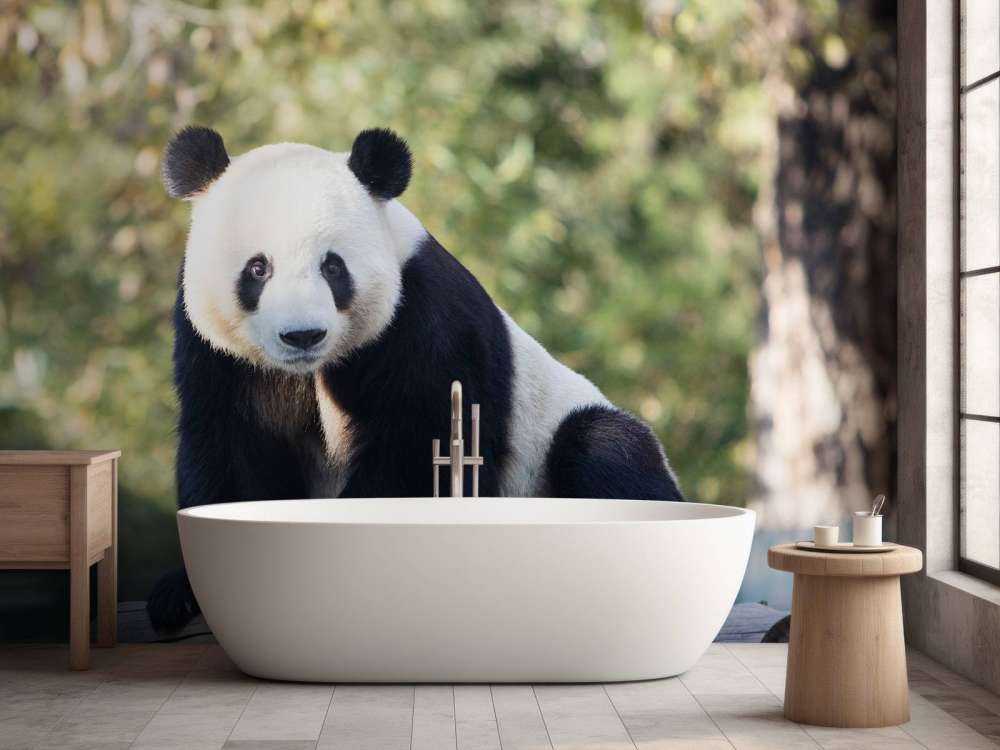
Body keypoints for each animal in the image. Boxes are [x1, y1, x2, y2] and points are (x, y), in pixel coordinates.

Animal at [147, 126, 684, 630]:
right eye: (258, 269)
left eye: (333, 267)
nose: (303, 335)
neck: (314, 368)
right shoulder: (216, 351)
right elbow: (230, 445)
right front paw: (182, 591)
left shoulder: (427, 319)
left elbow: (413, 447)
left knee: (605, 446)